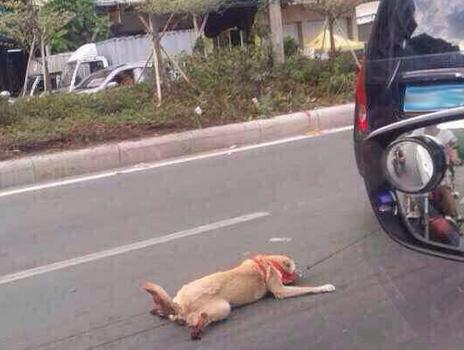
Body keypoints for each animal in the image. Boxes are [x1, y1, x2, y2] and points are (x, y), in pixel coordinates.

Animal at [143, 254, 336, 340]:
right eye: (294, 269)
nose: (301, 273)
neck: (269, 261)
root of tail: (182, 305)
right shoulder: (280, 290)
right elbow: (307, 289)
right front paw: (323, 287)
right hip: (223, 307)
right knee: (198, 320)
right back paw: (197, 328)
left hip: (178, 301)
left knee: (172, 315)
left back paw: (161, 311)